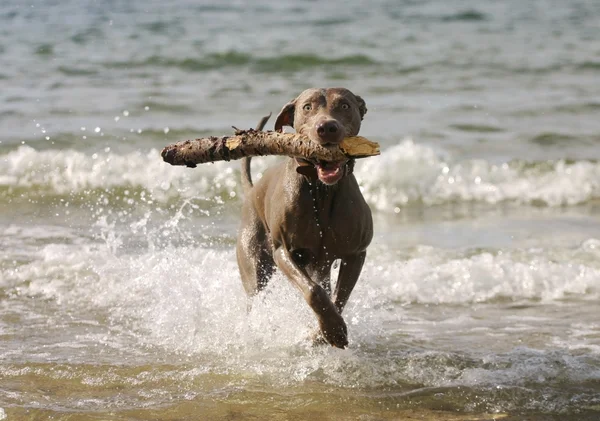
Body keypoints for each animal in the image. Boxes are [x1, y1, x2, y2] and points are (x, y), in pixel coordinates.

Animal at [237, 87, 372, 346]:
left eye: (345, 106)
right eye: (307, 107)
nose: (327, 127)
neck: (321, 189)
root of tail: (252, 190)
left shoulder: (356, 254)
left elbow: (339, 297)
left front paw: (325, 332)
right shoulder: (284, 251)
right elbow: (313, 291)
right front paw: (332, 330)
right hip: (254, 260)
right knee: (254, 295)